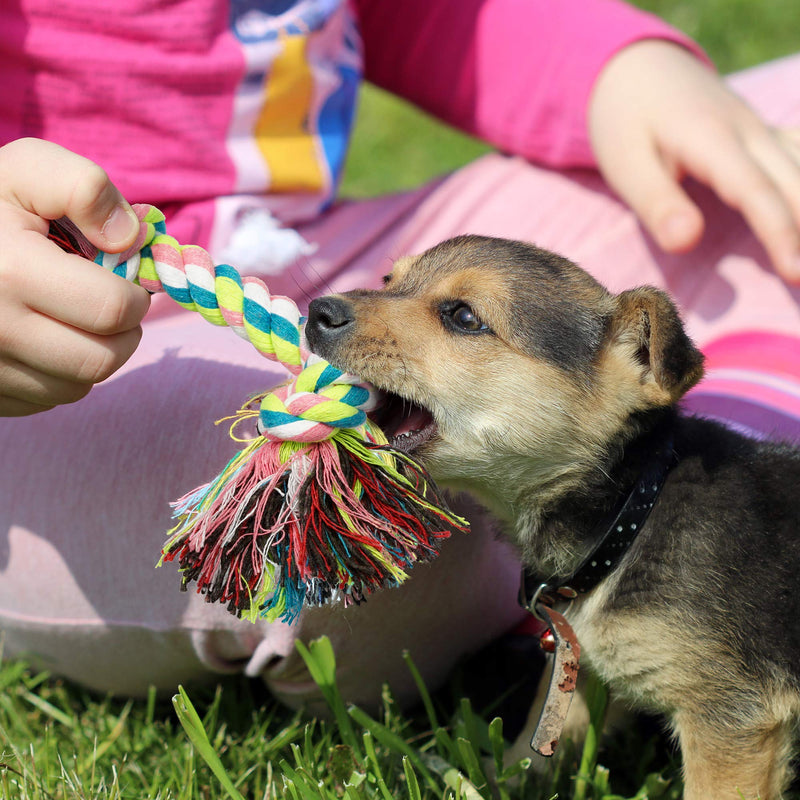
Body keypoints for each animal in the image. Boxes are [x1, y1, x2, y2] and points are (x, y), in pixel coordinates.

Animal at [304, 234, 800, 800]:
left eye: (464, 317)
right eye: (390, 282)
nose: (317, 311)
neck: (629, 512)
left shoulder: (732, 715)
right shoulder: (576, 663)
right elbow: (542, 741)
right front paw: (497, 777)